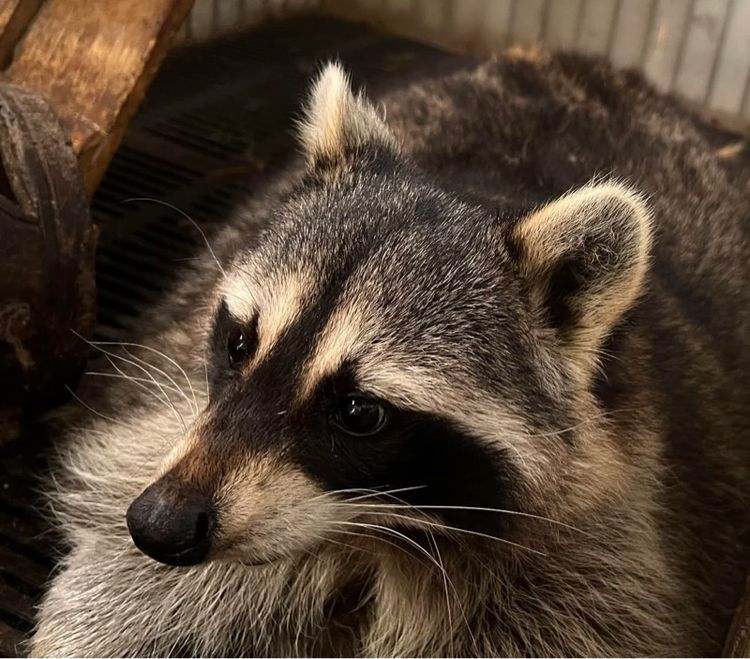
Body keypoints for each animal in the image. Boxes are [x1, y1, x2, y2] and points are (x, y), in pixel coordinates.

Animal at [30, 52, 750, 657]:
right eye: (239, 343)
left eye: (359, 412)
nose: (160, 523)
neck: (366, 534)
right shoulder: (162, 421)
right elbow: (123, 591)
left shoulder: (605, 546)